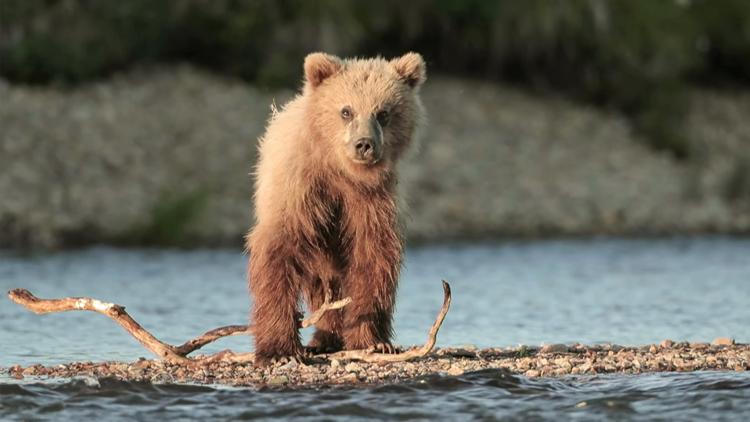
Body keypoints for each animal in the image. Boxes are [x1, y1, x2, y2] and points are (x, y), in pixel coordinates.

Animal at [245, 51, 426, 364]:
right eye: (346, 111)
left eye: (383, 113)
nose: (364, 144)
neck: (340, 172)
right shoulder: (300, 192)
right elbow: (278, 254)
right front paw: (279, 350)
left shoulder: (371, 202)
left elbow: (373, 259)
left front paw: (373, 340)